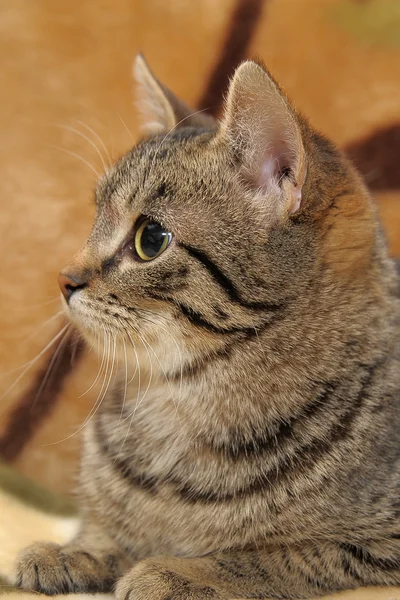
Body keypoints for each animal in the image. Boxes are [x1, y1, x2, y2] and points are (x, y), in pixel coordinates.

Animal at [15, 56, 400, 600]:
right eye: (94, 220)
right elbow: (105, 530)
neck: (177, 402)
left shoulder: (380, 544)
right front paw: (75, 552)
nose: (63, 279)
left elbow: (279, 555)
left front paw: (180, 570)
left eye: (151, 238)